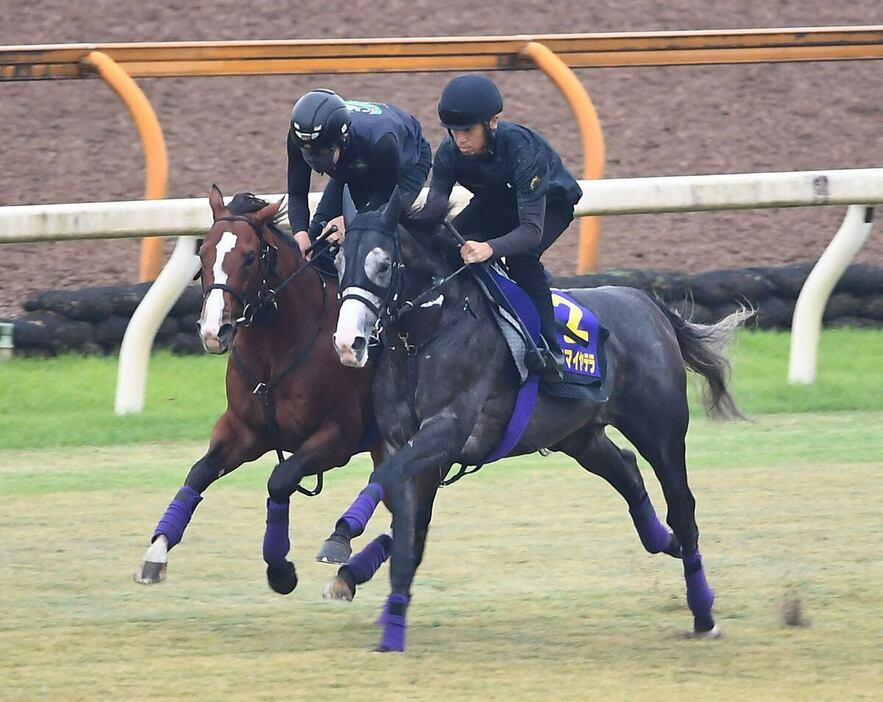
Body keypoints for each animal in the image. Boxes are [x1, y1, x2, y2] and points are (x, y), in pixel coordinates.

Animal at [135, 188, 390, 600]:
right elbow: (199, 472)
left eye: (250, 257)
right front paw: (156, 552)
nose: (214, 331)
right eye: (203, 253)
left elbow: (280, 479)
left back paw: (343, 543)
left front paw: (281, 569)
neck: (279, 348)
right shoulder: (243, 430)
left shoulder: (338, 436)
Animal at [322, 188, 748, 656]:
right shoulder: (405, 443)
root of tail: (648, 303)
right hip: (579, 435)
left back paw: (703, 612)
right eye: (338, 262)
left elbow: (387, 491)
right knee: (626, 469)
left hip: (662, 432)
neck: (431, 330)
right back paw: (662, 541)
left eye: (382, 264)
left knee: (683, 510)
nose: (348, 344)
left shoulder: (445, 429)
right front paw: (392, 626)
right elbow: (407, 530)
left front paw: (341, 535)